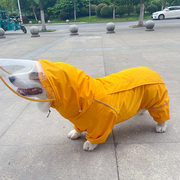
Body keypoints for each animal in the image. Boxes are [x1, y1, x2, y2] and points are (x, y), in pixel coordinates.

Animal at [8, 60, 170, 150]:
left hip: (158, 102)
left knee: (162, 115)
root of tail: (152, 70)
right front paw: (75, 133)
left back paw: (161, 126)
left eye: (36, 73)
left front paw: (90, 144)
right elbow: (78, 128)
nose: (10, 78)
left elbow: (95, 136)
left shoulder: (103, 122)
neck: (82, 97)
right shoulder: (79, 119)